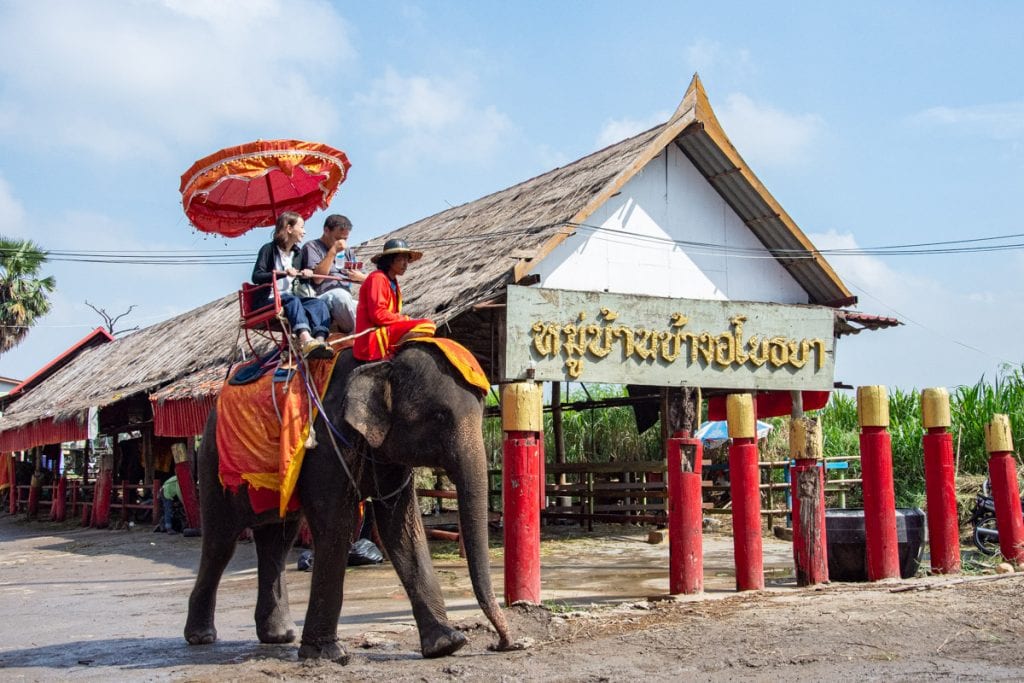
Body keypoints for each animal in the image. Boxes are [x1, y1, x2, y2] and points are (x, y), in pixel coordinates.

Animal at [182, 344, 512, 663]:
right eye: (440, 417)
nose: (503, 644)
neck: (383, 361)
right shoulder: (326, 445)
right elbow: (336, 526)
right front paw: (327, 654)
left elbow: (401, 528)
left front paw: (447, 645)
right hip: (213, 463)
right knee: (221, 542)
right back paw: (201, 637)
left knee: (277, 542)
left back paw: (279, 636)